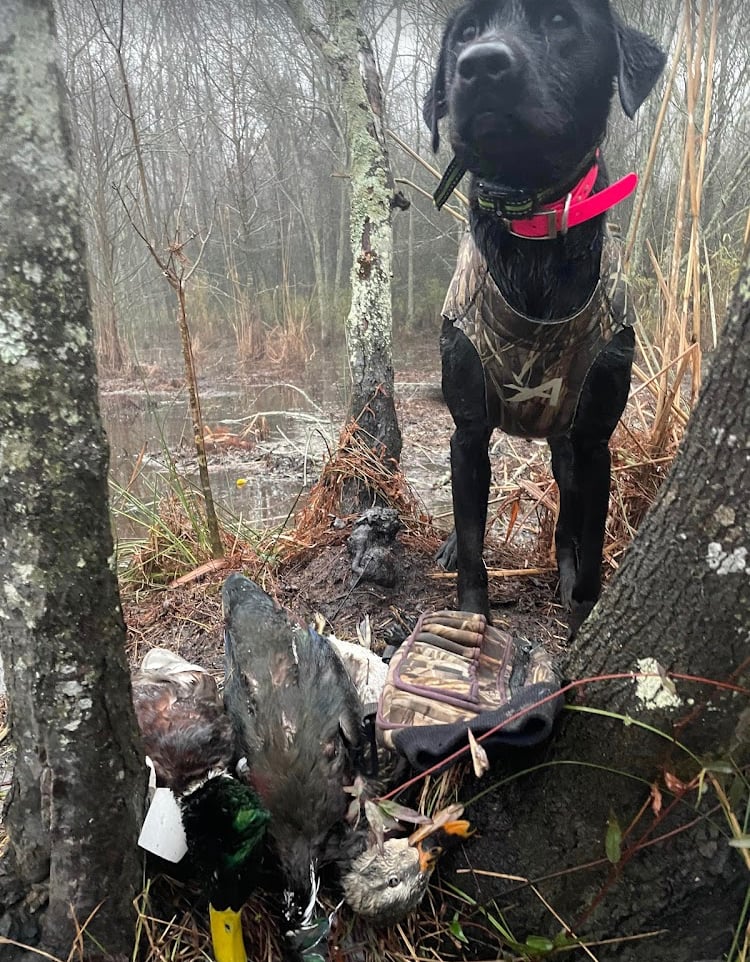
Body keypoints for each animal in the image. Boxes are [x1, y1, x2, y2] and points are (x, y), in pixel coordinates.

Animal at [426, 1, 668, 632]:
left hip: (566, 449)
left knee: (566, 523)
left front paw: (583, 615)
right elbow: (471, 541)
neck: (531, 219)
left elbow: (588, 542)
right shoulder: (468, 429)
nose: (481, 64)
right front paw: (472, 616)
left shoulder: (593, 441)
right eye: (466, 32)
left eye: (560, 21)